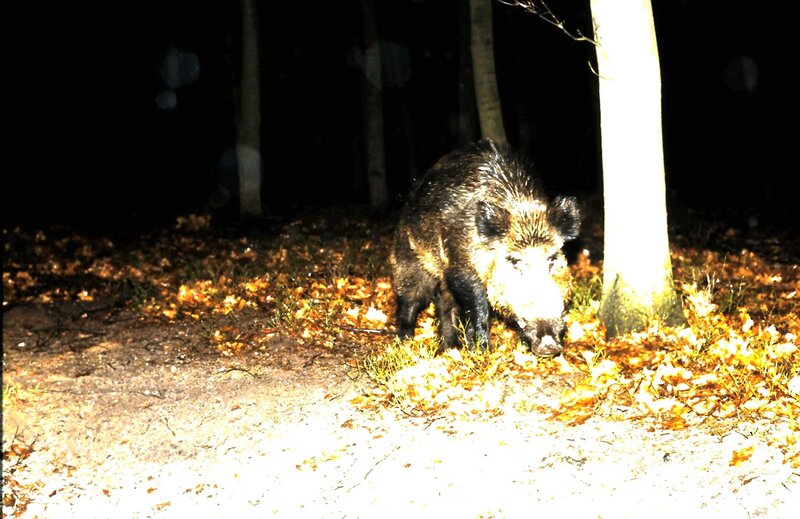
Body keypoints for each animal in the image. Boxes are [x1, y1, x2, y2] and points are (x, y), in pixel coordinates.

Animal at [390, 139, 580, 356]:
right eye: (515, 262)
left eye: (551, 260)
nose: (549, 346)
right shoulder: (462, 267)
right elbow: (478, 305)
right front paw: (482, 350)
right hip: (410, 259)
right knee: (410, 299)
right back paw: (405, 342)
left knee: (445, 305)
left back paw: (448, 349)